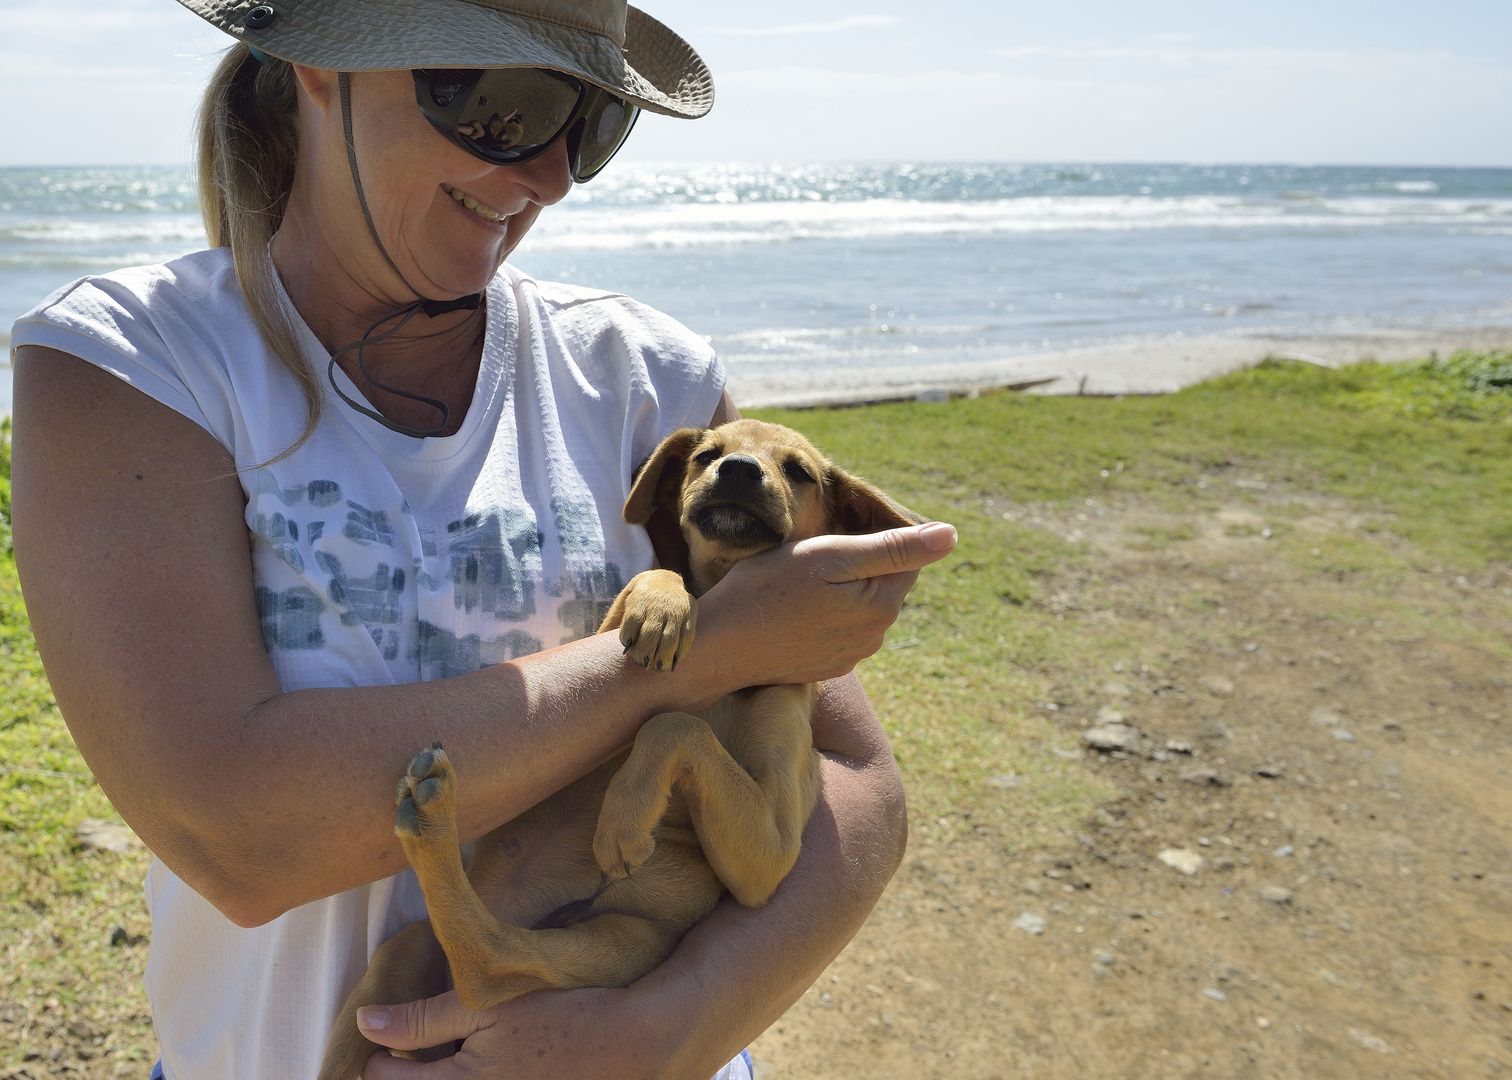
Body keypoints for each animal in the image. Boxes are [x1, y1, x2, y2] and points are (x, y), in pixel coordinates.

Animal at [322, 417, 919, 1070]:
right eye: (707, 454)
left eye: (799, 471)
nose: (737, 470)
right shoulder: (603, 682)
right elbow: (654, 586)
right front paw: (665, 604)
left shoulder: (772, 854)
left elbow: (676, 725)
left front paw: (623, 821)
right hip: (394, 966)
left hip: (629, 941)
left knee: (494, 966)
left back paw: (434, 827)